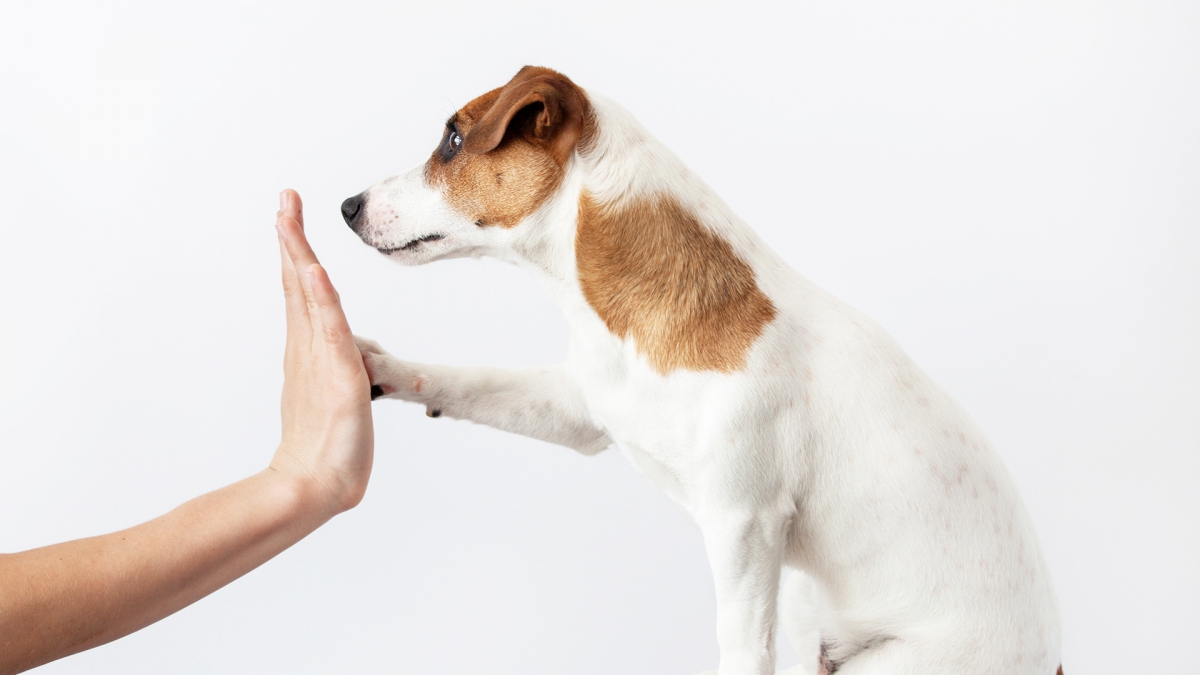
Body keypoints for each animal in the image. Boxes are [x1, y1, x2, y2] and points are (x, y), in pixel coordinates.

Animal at [343, 64, 1065, 672]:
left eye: (453, 140)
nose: (347, 206)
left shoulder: (744, 526)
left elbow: (739, 648)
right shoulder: (581, 411)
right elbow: (474, 381)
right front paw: (378, 364)